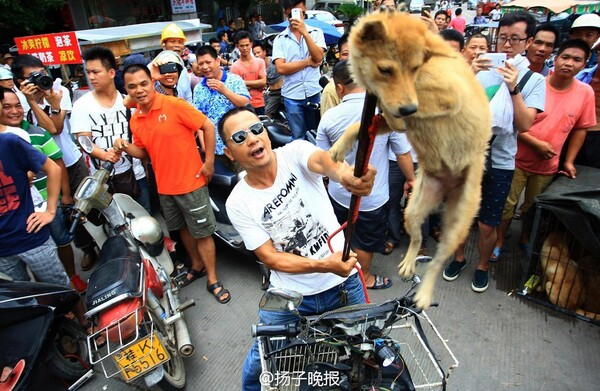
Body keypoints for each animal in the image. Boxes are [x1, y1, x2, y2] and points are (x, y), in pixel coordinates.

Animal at [330, 10, 494, 310]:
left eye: (415, 68)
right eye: (386, 70)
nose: (406, 109)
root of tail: (447, 188)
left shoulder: (446, 96)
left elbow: (408, 108)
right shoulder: (388, 112)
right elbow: (361, 125)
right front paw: (339, 147)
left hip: (457, 223)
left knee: (438, 260)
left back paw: (425, 293)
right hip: (413, 209)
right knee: (417, 237)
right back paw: (408, 263)